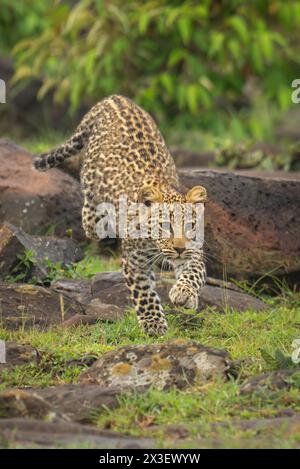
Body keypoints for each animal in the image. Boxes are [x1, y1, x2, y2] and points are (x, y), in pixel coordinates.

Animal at [32, 95, 206, 334]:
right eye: (165, 226)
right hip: (91, 181)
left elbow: (194, 271)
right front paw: (153, 323)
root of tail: (115, 99)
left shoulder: (193, 251)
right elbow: (145, 294)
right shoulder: (135, 261)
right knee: (90, 215)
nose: (179, 249)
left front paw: (184, 293)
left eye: (190, 226)